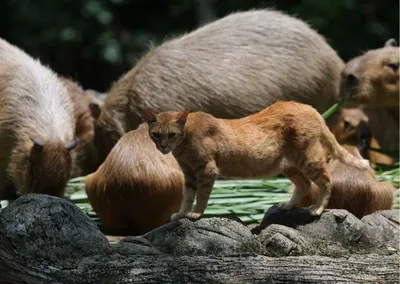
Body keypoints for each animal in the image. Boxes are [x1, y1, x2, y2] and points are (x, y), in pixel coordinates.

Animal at [143, 101, 368, 220]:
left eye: (171, 134)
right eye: (156, 134)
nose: (163, 146)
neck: (183, 146)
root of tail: (310, 108)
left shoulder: (206, 170)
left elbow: (202, 197)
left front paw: (196, 214)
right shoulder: (189, 174)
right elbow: (188, 196)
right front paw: (181, 213)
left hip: (309, 160)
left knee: (327, 181)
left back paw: (318, 208)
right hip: (290, 165)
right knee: (304, 185)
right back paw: (288, 205)